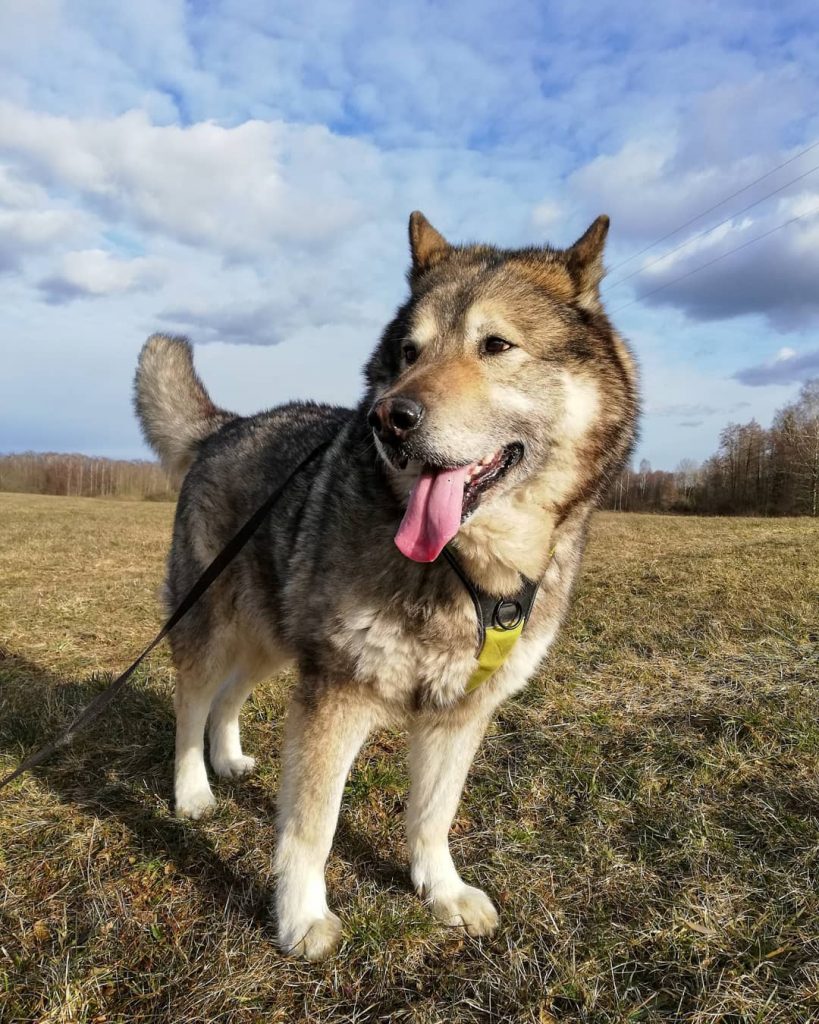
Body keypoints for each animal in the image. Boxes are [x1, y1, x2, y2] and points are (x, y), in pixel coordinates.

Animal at [133, 209, 638, 958]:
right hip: (213, 623)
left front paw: (441, 891)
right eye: (407, 352)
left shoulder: (460, 713)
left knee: (229, 696)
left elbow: (432, 814)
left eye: (496, 345)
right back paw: (194, 790)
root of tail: (228, 425)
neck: (465, 566)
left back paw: (229, 759)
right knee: (192, 703)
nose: (389, 420)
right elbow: (311, 827)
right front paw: (300, 919)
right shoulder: (335, 696)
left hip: (274, 638)